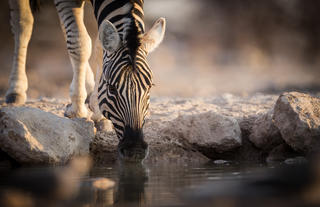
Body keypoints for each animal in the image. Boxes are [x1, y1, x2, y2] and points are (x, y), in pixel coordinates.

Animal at [5, 0, 166, 162]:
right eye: (111, 88)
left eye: (150, 87)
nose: (135, 151)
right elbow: (80, 43)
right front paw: (77, 108)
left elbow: (98, 47)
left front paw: (98, 112)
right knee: (23, 24)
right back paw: (16, 90)